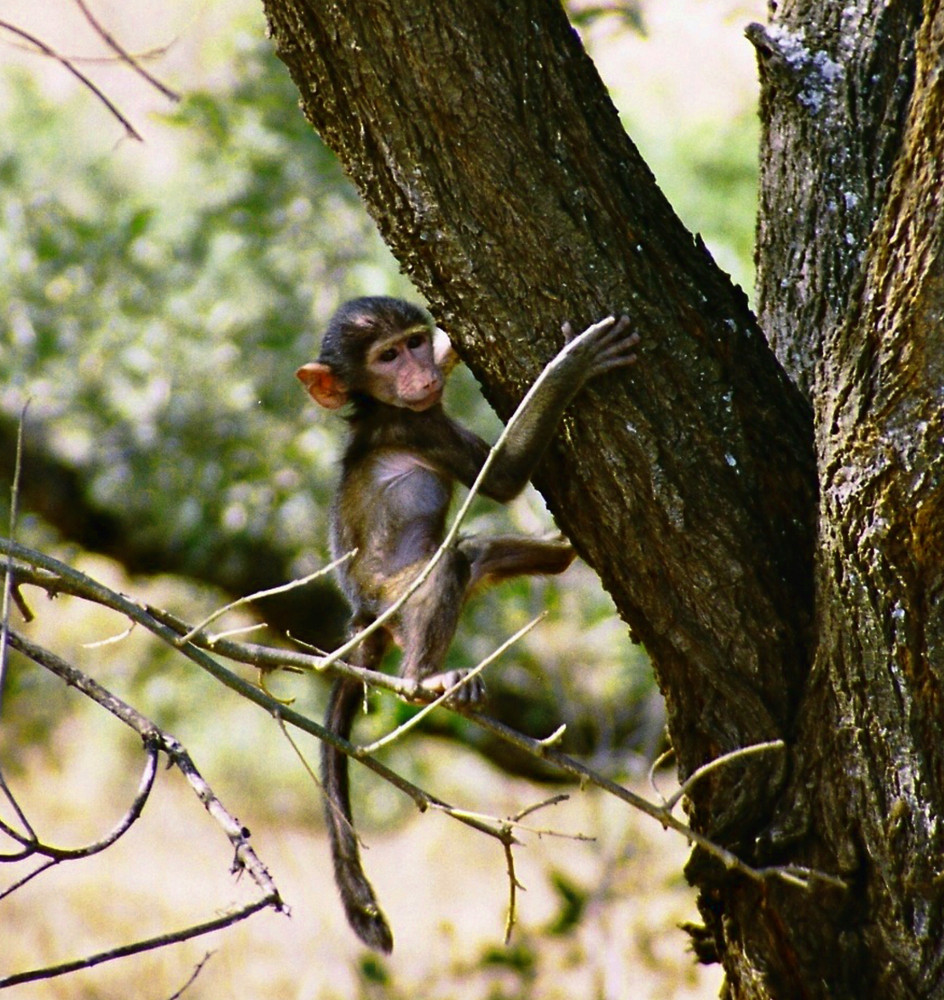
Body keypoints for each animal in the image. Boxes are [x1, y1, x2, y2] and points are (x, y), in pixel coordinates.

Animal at [296, 296, 636, 952]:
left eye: (413, 342)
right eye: (387, 356)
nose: (421, 371)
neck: (377, 409)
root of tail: (363, 615)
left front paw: (453, 346)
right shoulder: (417, 427)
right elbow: (501, 477)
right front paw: (572, 362)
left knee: (473, 556)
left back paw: (561, 554)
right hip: (396, 597)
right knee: (446, 567)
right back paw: (425, 679)